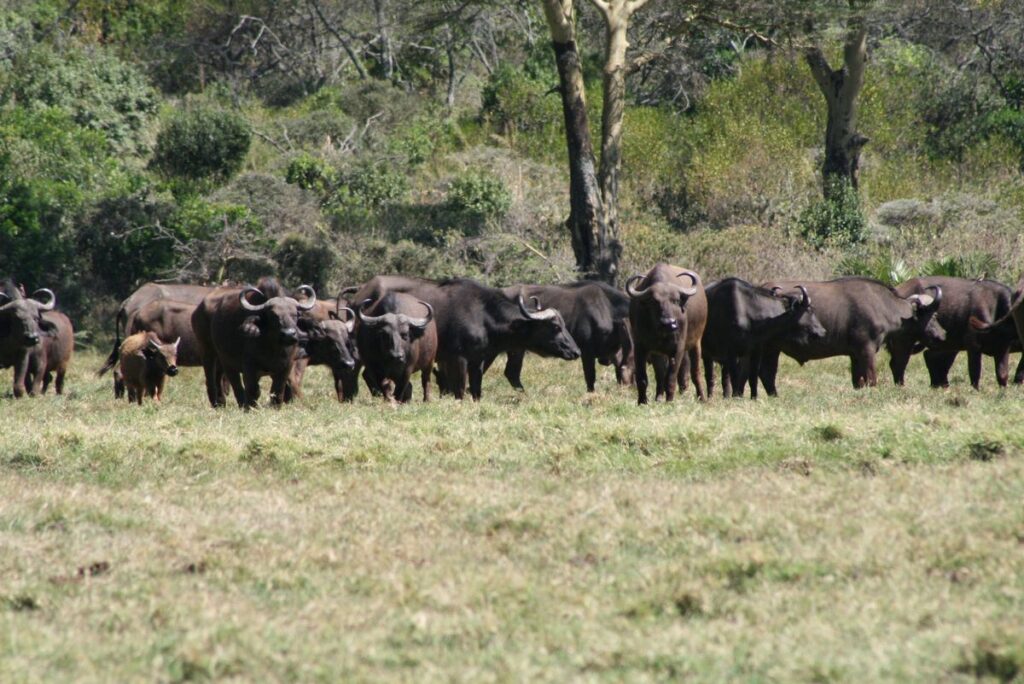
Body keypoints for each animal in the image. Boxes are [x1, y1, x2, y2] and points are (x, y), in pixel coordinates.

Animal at [191, 279, 317, 408]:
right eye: (273, 315)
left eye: (295, 314)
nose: (289, 334)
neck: (273, 348)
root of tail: (198, 311)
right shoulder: (249, 366)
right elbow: (254, 389)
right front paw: (251, 406)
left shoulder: (286, 366)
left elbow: (278, 389)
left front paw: (275, 406)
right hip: (209, 352)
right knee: (219, 380)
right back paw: (226, 403)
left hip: (222, 359)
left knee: (220, 378)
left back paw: (222, 403)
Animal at [627, 263, 709, 404]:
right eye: (654, 302)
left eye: (676, 301)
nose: (669, 323)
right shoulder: (641, 347)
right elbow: (642, 378)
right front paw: (642, 401)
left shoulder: (678, 349)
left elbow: (671, 378)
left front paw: (669, 400)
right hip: (657, 353)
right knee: (660, 374)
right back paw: (659, 397)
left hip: (696, 342)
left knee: (695, 372)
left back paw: (702, 398)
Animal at [758, 277, 945, 393]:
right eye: (934, 315)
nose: (942, 335)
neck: (883, 305)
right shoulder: (867, 350)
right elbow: (871, 380)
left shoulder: (855, 355)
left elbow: (857, 382)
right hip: (769, 349)